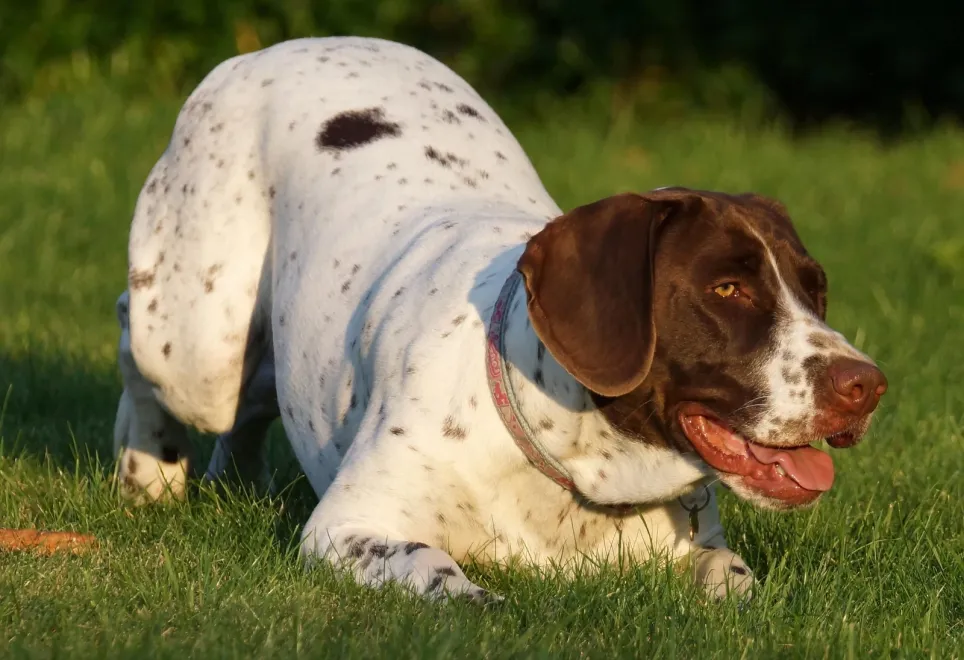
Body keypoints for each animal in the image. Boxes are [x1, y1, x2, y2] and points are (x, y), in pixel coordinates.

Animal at [109, 37, 884, 604]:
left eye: (816, 291)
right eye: (726, 289)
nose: (867, 385)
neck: (579, 463)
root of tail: (265, 51)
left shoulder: (699, 549)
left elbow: (734, 578)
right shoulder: (348, 527)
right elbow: (436, 571)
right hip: (193, 342)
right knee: (141, 341)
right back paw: (147, 476)